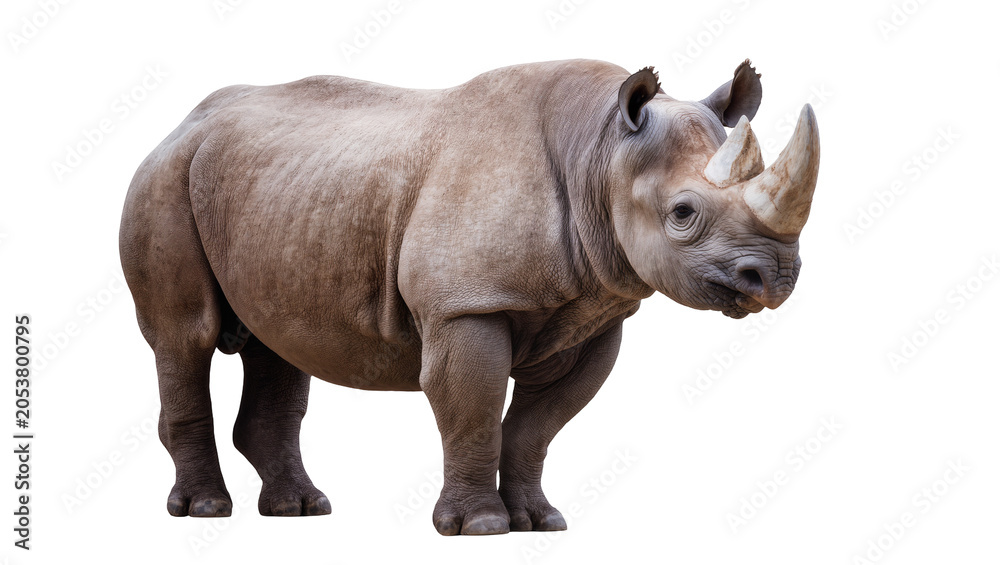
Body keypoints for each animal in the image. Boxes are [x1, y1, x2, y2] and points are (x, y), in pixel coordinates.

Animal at [119, 58, 819, 535]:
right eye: (682, 214)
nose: (775, 279)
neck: (597, 150)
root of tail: (182, 123)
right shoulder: (466, 304)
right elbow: (474, 406)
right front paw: (479, 527)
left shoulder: (595, 311)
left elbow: (540, 424)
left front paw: (539, 521)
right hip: (162, 180)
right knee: (185, 336)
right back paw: (207, 510)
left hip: (270, 192)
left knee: (278, 343)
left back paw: (301, 511)